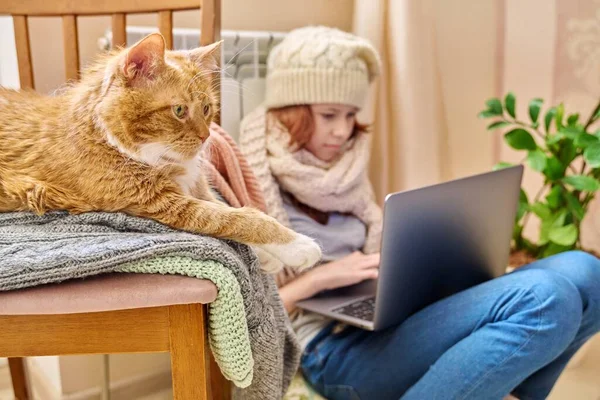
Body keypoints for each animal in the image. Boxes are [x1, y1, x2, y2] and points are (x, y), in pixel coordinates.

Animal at [0, 33, 322, 272]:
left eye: (206, 108)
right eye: (179, 110)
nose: (206, 137)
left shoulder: (197, 189)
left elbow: (228, 207)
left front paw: (265, 256)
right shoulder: (165, 203)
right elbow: (239, 218)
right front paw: (297, 246)